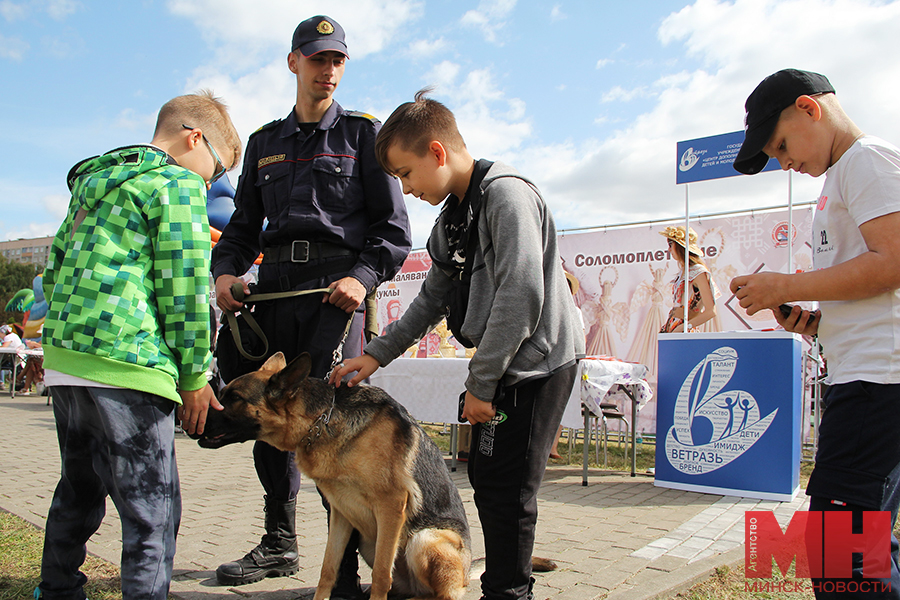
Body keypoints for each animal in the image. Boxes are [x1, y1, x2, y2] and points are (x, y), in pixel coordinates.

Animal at [194, 352, 474, 600]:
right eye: (222, 394)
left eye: (235, 398)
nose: (192, 415)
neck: (321, 420)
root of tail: (466, 575)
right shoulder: (341, 511)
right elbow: (329, 568)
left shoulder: (392, 507)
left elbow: (381, 573)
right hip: (368, 543)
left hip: (423, 539)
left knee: (440, 594)